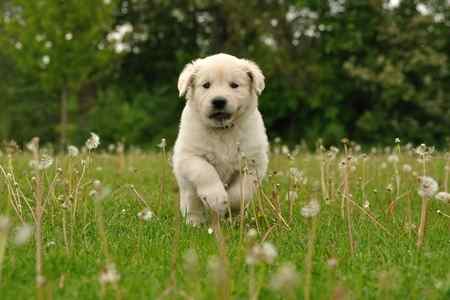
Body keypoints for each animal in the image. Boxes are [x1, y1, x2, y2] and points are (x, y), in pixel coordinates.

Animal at [173, 53, 268, 225]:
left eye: (234, 85)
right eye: (206, 85)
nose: (219, 101)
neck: (223, 131)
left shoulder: (253, 162)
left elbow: (242, 191)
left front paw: (228, 203)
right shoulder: (189, 156)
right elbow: (205, 171)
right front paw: (217, 198)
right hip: (187, 188)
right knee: (193, 204)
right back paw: (195, 223)